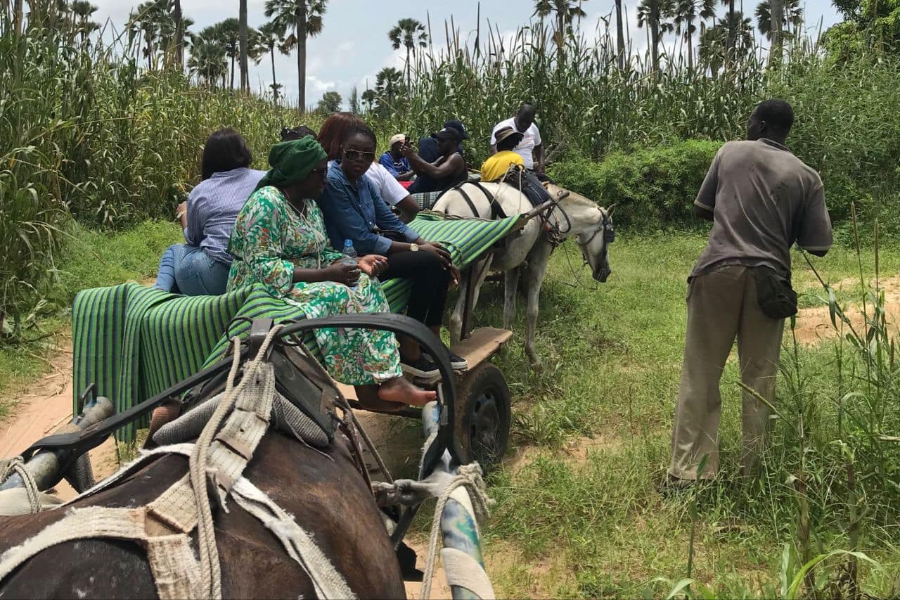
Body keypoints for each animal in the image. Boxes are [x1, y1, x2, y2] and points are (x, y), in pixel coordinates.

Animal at [432, 180, 616, 372]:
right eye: (610, 236)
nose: (606, 272)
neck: (556, 211)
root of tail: (446, 202)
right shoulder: (538, 259)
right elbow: (533, 310)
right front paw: (533, 358)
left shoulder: (514, 265)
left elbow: (508, 310)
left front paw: (504, 348)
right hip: (477, 269)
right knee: (456, 319)